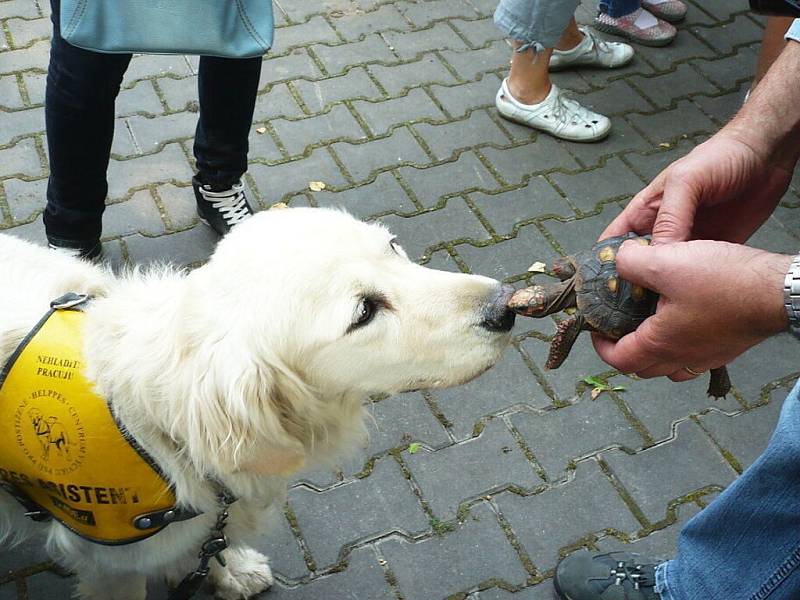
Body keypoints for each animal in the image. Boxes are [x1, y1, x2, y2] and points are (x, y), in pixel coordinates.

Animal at [0, 207, 512, 600]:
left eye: (392, 247)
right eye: (364, 312)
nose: (506, 306)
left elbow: (212, 544)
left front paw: (232, 572)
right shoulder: (112, 565)